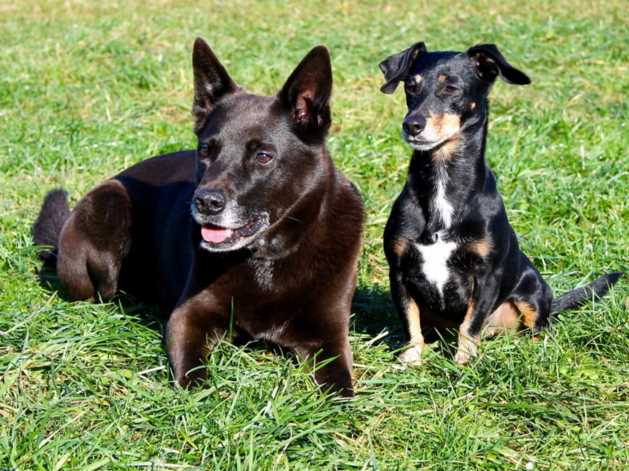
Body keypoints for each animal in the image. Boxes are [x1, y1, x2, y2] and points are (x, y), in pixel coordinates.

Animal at [34, 37, 366, 398]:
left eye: (263, 156)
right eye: (206, 150)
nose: (205, 202)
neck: (269, 256)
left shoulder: (329, 335)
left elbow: (342, 390)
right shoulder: (187, 317)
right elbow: (194, 380)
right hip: (109, 205)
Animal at [380, 41, 620, 366]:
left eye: (451, 88)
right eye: (411, 86)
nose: (412, 125)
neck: (443, 184)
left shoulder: (486, 276)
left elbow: (470, 324)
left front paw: (464, 362)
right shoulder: (400, 271)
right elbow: (410, 322)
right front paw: (411, 359)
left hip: (532, 290)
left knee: (539, 327)